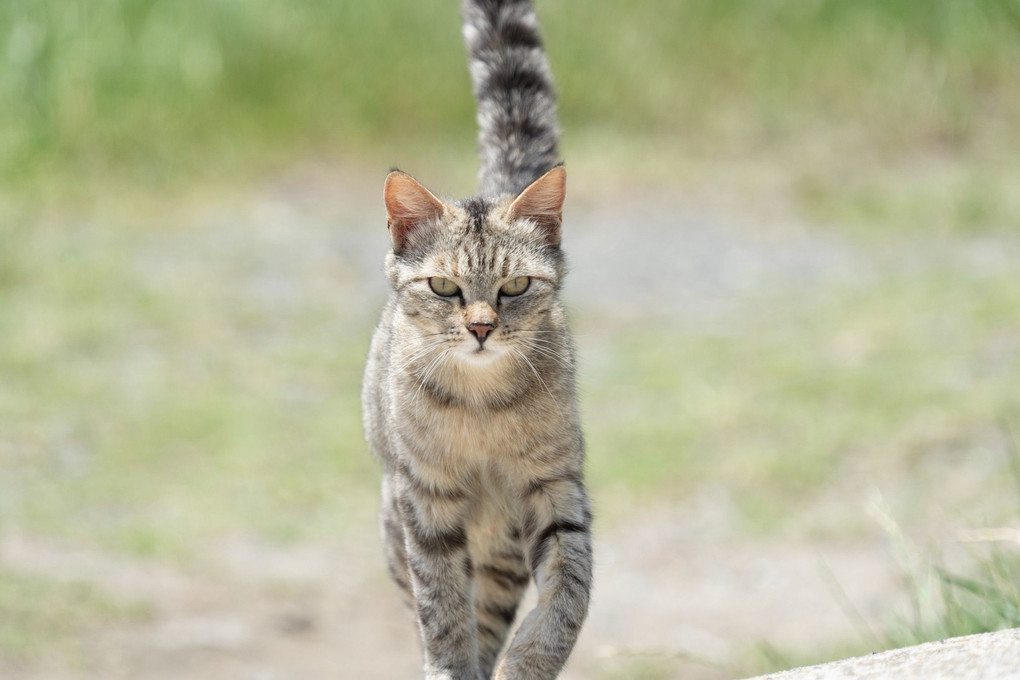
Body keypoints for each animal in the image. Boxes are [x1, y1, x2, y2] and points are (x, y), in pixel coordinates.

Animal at [363, 2, 595, 676]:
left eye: (515, 285)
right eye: (444, 287)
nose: (482, 327)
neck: (482, 405)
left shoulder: (555, 487)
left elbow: (570, 587)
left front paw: (533, 659)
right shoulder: (424, 503)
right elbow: (440, 605)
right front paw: (448, 665)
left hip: (504, 545)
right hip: (393, 516)